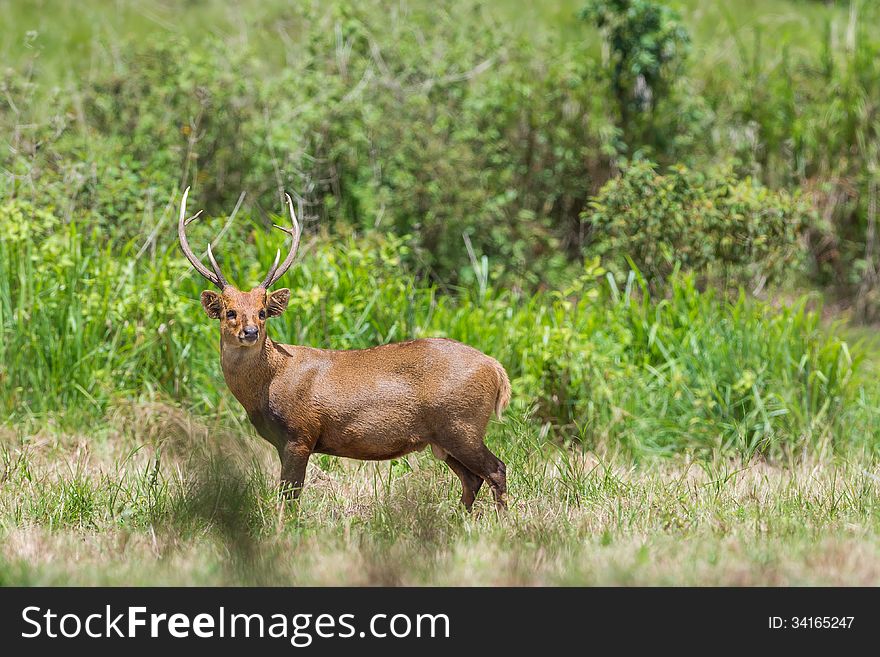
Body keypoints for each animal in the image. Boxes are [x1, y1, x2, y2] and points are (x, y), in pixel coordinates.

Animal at [179, 187, 508, 510]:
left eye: (262, 312)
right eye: (230, 312)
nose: (250, 332)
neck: (268, 384)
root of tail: (496, 368)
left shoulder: (300, 433)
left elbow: (289, 497)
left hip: (461, 424)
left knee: (496, 469)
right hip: (444, 438)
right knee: (472, 479)